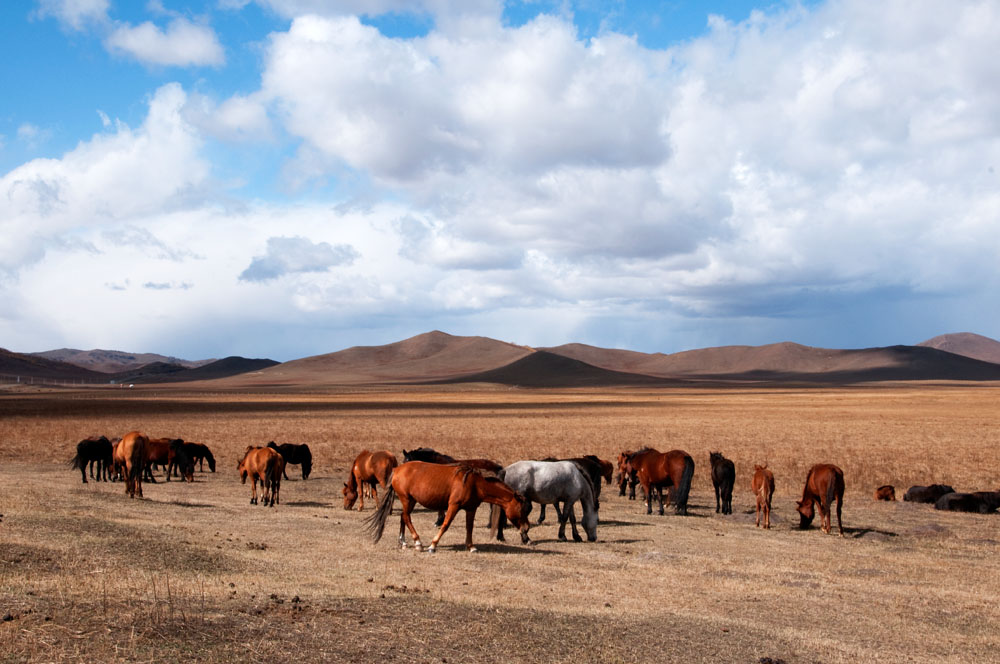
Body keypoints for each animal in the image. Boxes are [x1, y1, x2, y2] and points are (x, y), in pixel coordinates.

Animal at [366, 460, 536, 552]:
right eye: (522, 510)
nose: (526, 528)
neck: (475, 484)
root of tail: (397, 469)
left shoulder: (471, 509)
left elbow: (469, 528)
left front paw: (471, 546)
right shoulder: (454, 505)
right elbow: (446, 524)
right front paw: (433, 545)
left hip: (411, 500)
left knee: (403, 517)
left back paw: (403, 542)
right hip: (406, 499)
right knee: (407, 517)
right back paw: (418, 543)